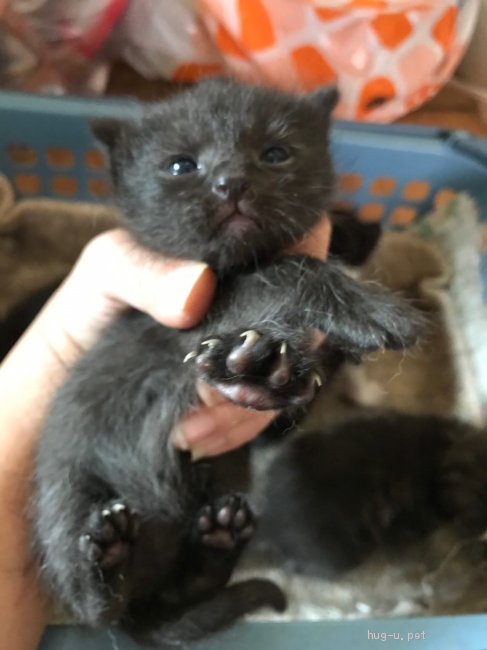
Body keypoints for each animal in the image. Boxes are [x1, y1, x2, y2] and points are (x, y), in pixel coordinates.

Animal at [32, 78, 422, 644]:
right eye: (180, 165)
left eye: (276, 154)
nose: (231, 183)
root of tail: (145, 614)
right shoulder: (190, 310)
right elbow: (288, 269)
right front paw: (372, 312)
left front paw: (265, 371)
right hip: (64, 490)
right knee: (94, 604)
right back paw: (106, 560)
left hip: (219, 484)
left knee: (186, 584)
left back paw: (217, 538)